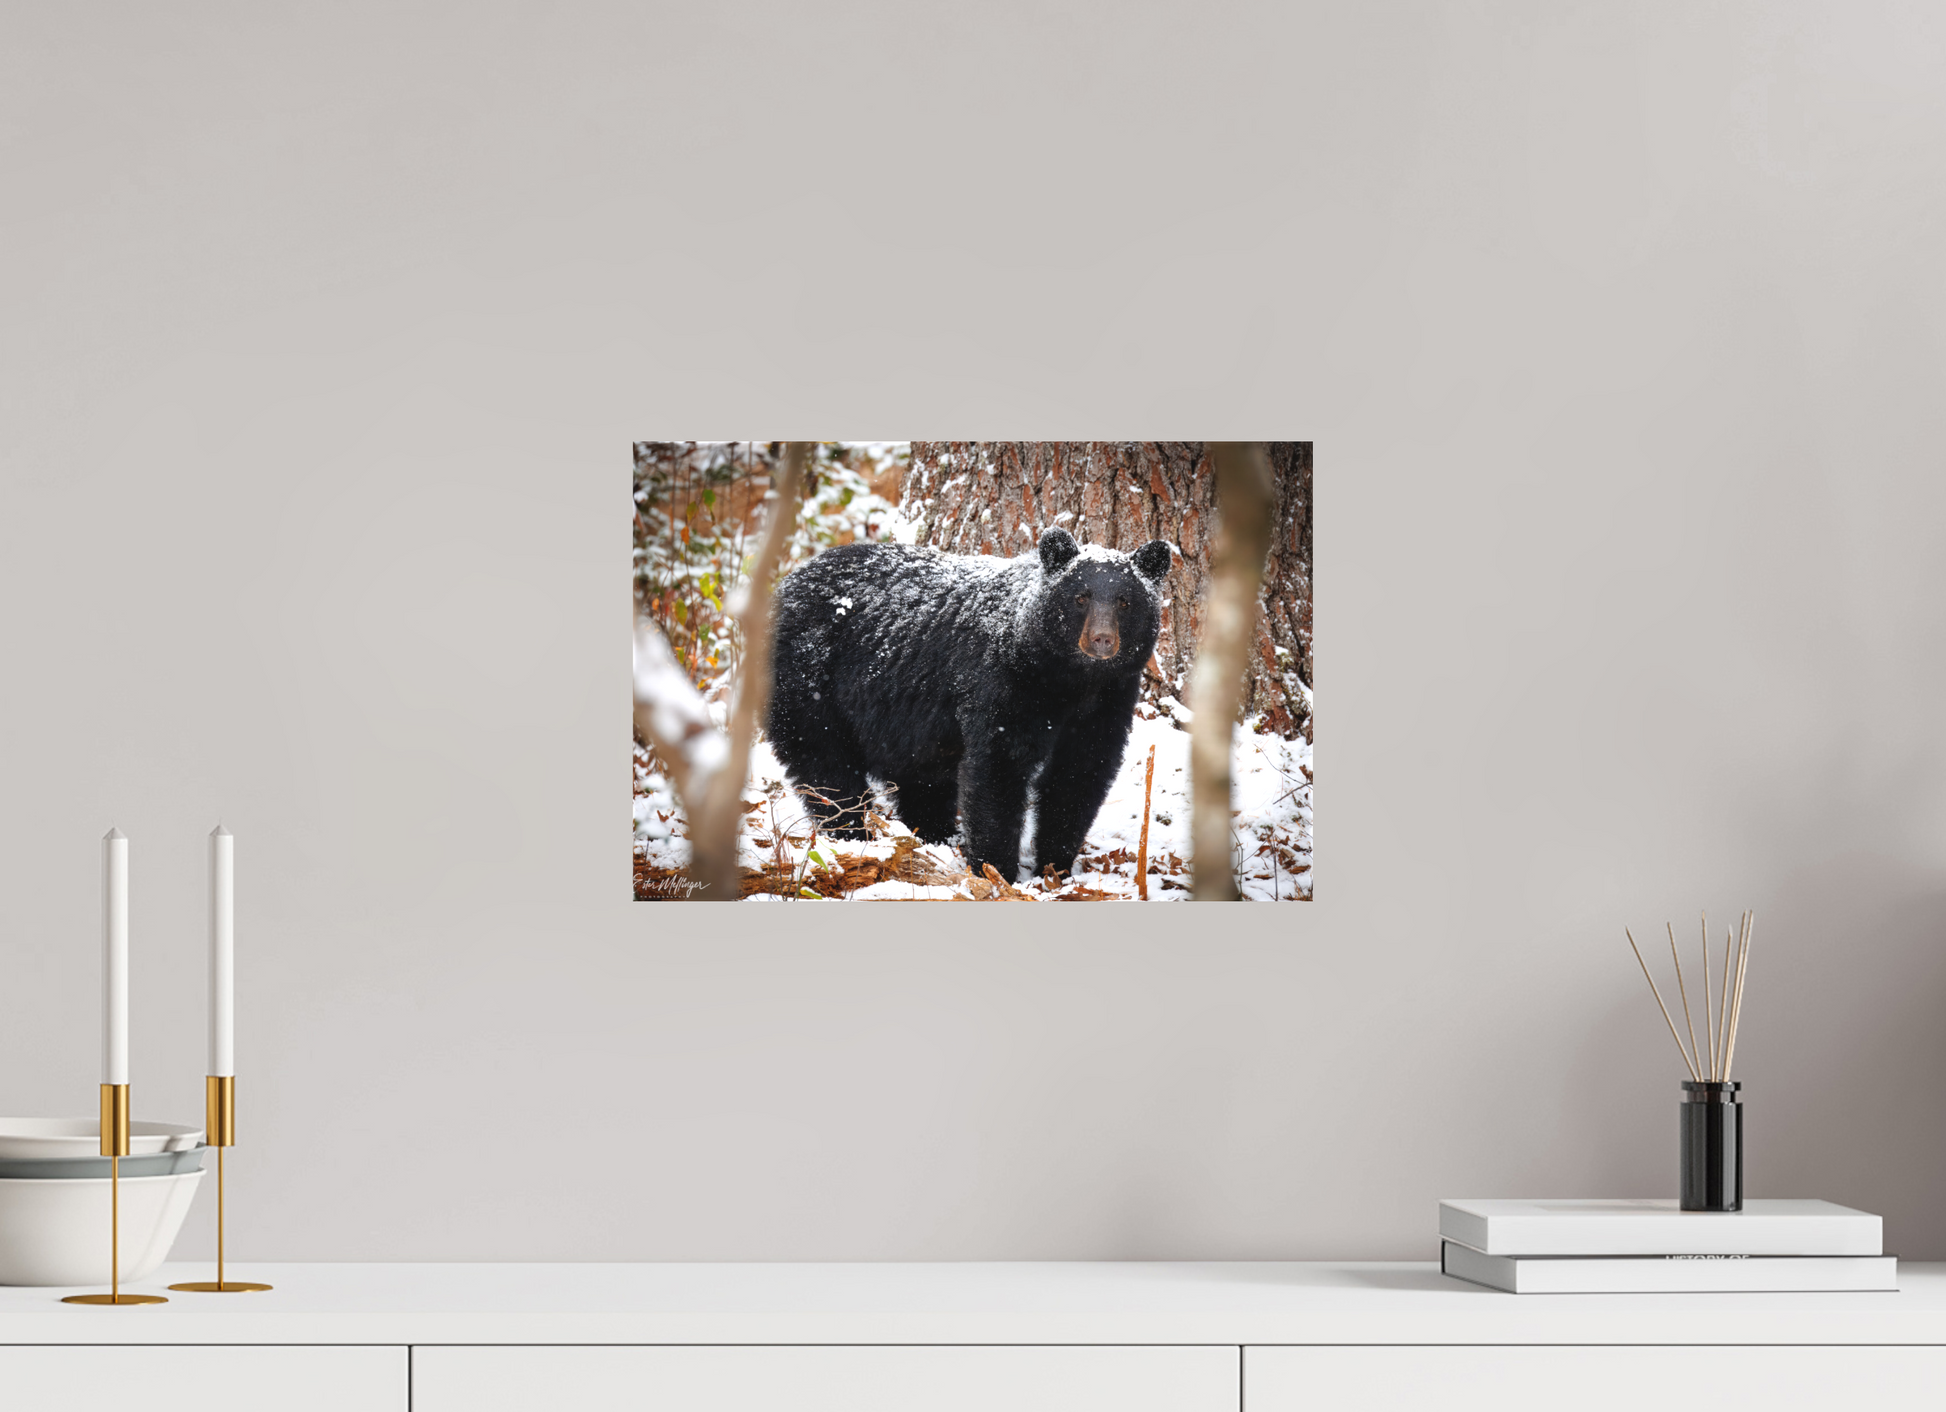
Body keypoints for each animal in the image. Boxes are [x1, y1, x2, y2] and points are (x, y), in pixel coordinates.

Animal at [765, 526, 1174, 883]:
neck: (1068, 681)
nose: (1102, 640)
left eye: (1125, 601)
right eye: (1081, 597)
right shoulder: (1003, 683)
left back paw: (934, 839)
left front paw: (1055, 868)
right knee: (825, 767)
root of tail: (787, 583)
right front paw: (998, 871)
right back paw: (852, 835)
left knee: (921, 781)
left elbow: (1080, 774)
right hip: (808, 684)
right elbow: (997, 769)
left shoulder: (1109, 699)